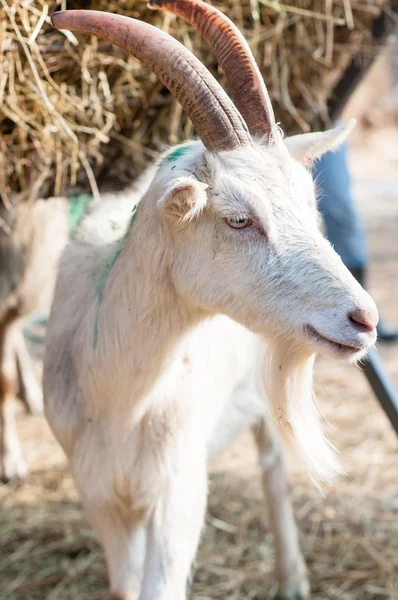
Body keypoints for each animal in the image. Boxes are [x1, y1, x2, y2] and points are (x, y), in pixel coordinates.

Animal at [45, 5, 378, 600]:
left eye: (307, 203)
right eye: (239, 218)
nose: (364, 320)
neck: (118, 394)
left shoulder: (178, 491)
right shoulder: (100, 495)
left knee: (272, 467)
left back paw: (292, 577)